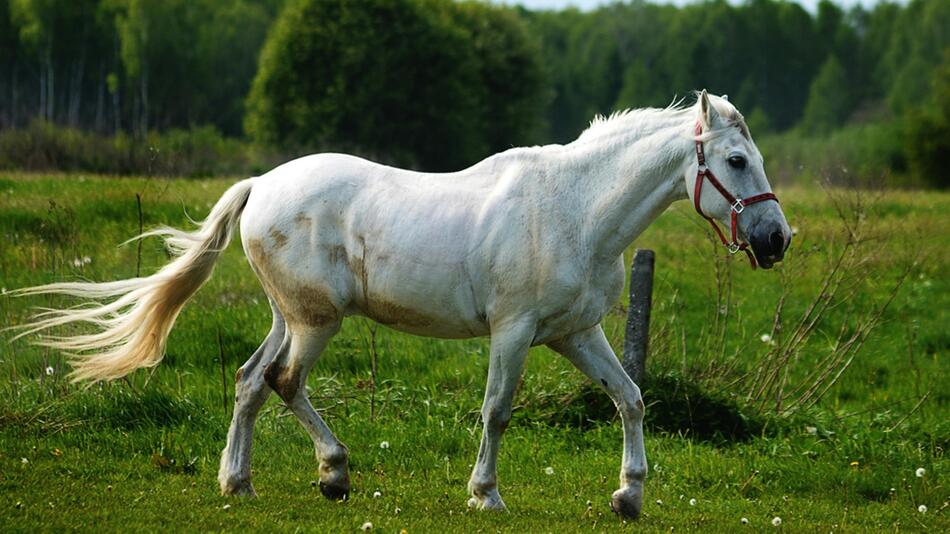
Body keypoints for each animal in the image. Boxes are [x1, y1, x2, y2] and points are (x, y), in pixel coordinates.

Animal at [13, 91, 788, 520]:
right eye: (737, 160)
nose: (776, 240)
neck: (575, 209)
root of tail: (261, 185)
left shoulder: (577, 334)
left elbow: (629, 399)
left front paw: (628, 497)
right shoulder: (514, 332)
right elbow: (497, 411)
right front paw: (485, 495)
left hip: (290, 316)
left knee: (249, 381)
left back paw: (239, 482)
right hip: (317, 322)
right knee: (282, 381)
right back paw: (333, 473)